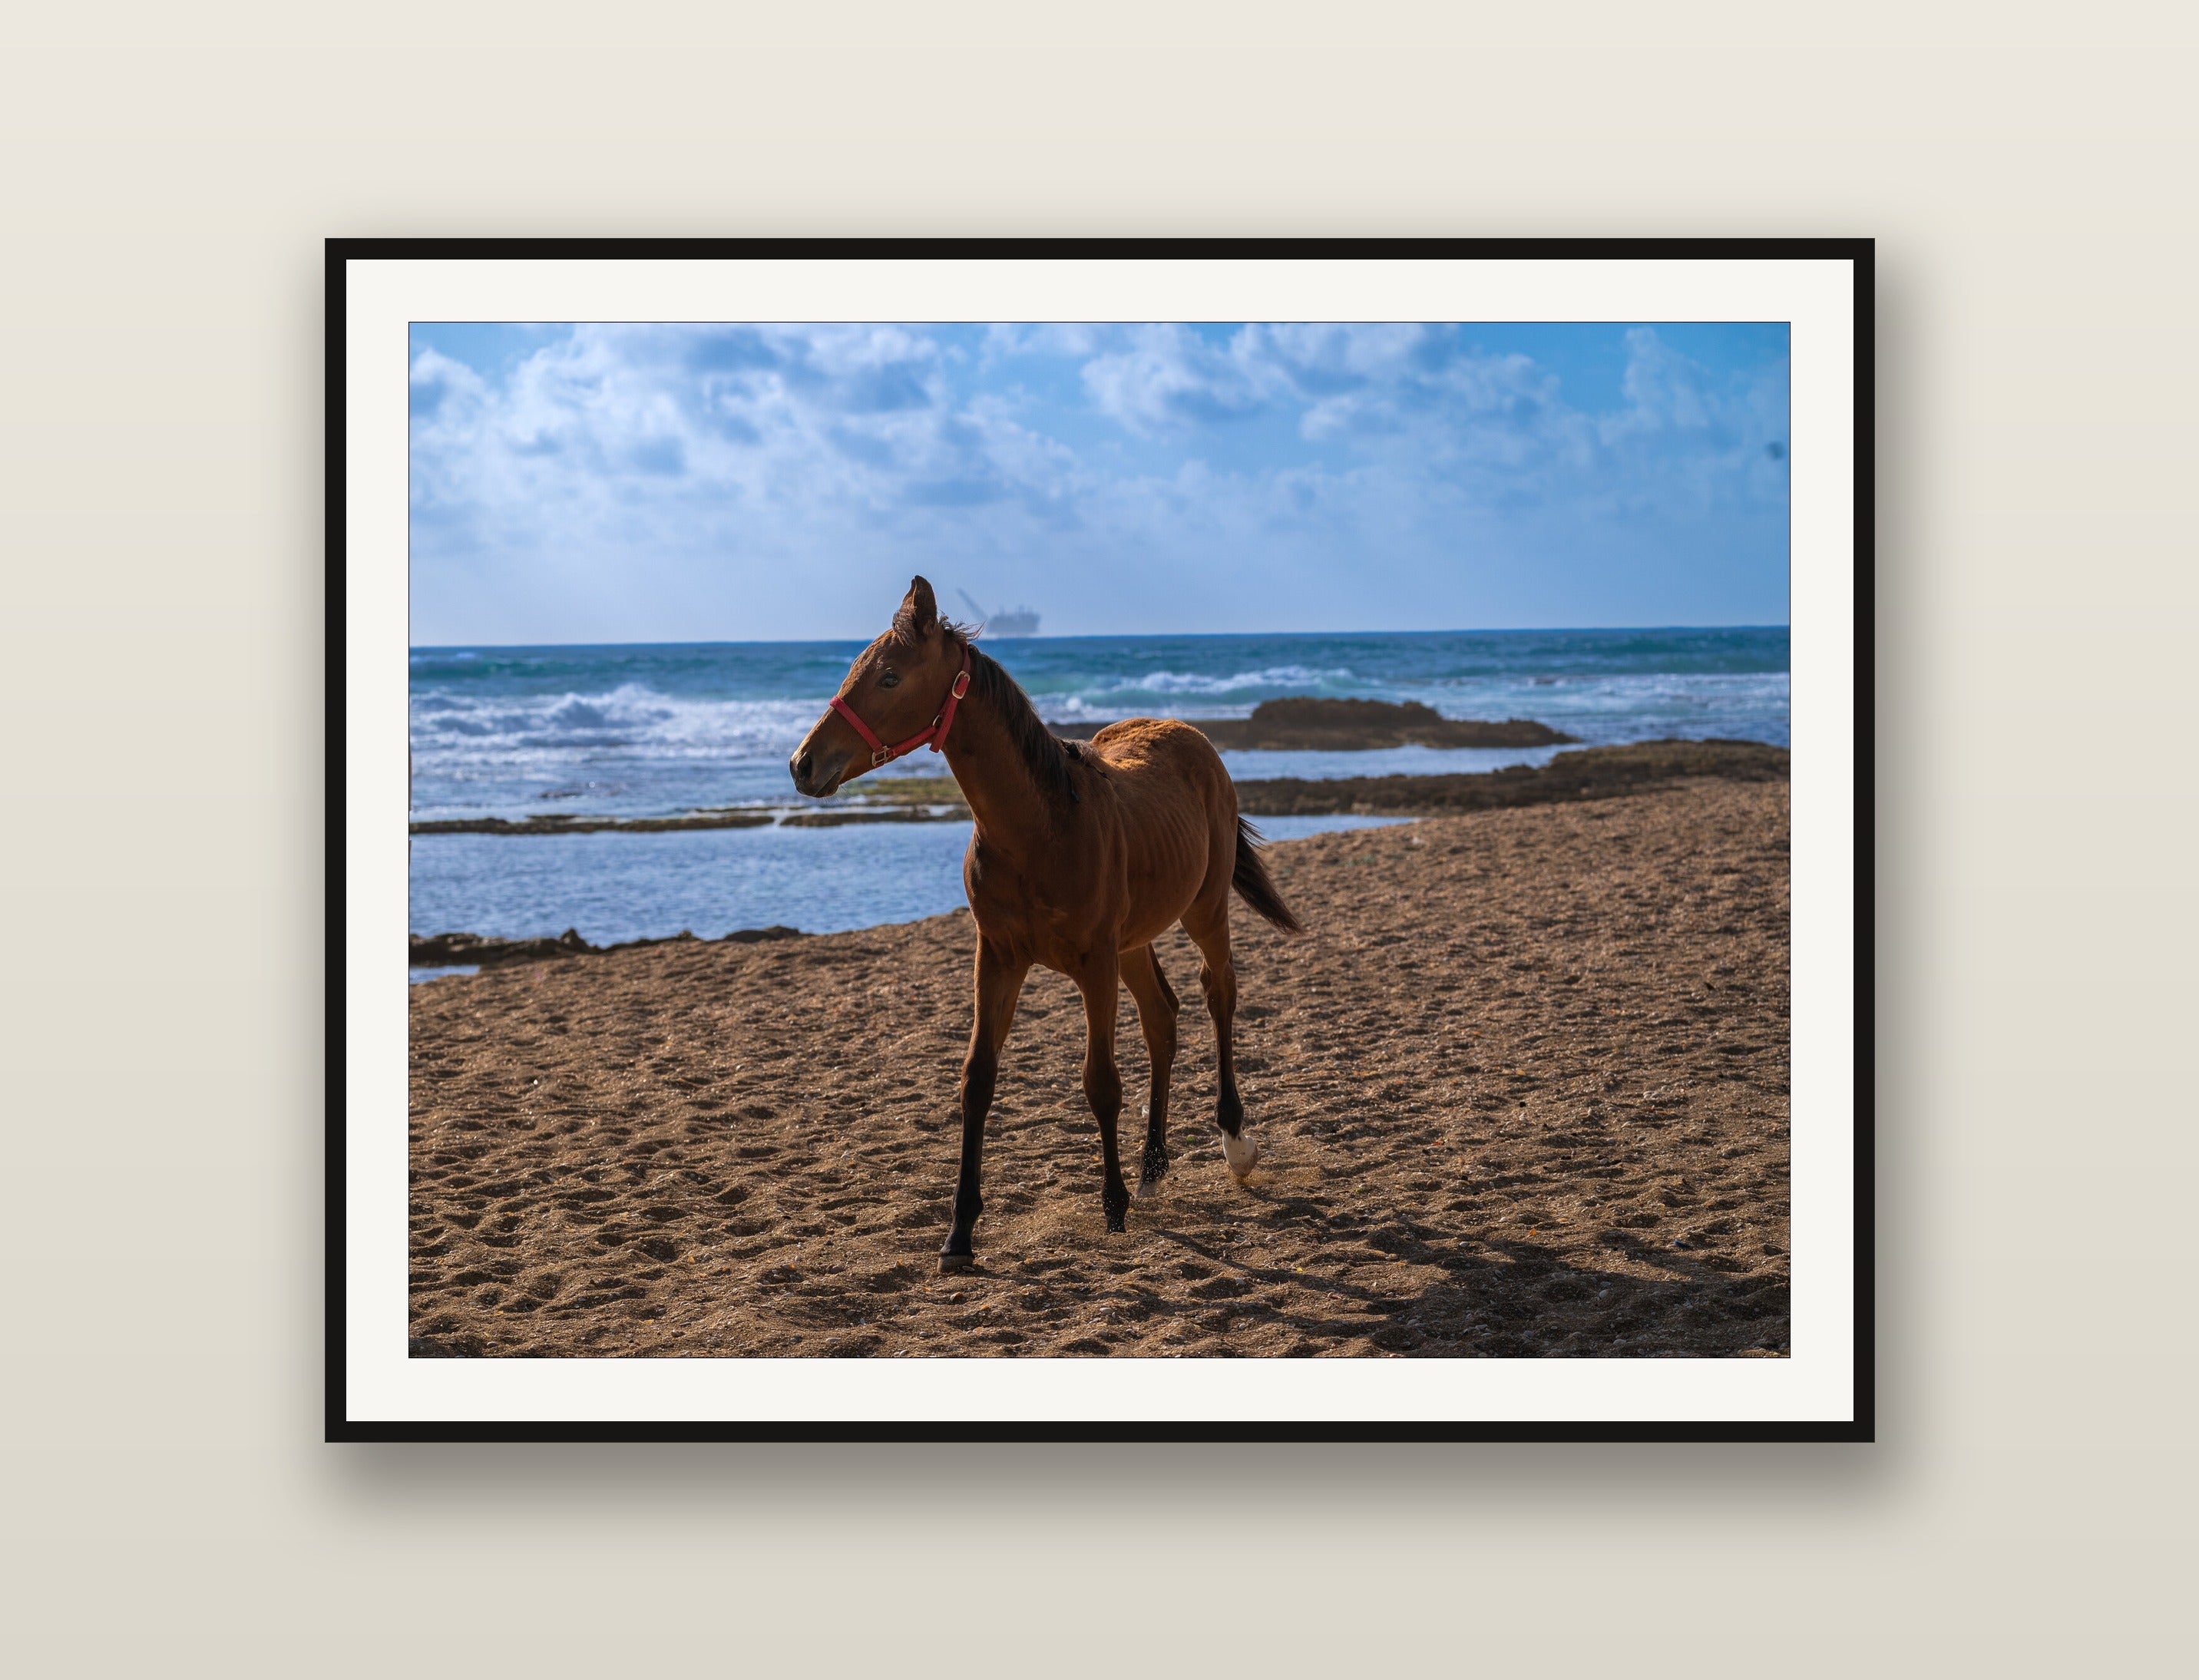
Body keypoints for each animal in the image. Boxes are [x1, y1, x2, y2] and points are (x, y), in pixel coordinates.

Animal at [790, 577, 1304, 1271]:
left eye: (891, 677)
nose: (803, 764)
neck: (1041, 827)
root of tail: (1189, 734)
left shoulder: (1093, 964)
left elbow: (1100, 1083)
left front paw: (1112, 1206)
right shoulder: (998, 957)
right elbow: (978, 1079)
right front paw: (959, 1233)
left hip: (1203, 909)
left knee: (1218, 992)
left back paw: (1233, 1144)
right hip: (1134, 942)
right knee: (1163, 1019)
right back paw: (1153, 1165)